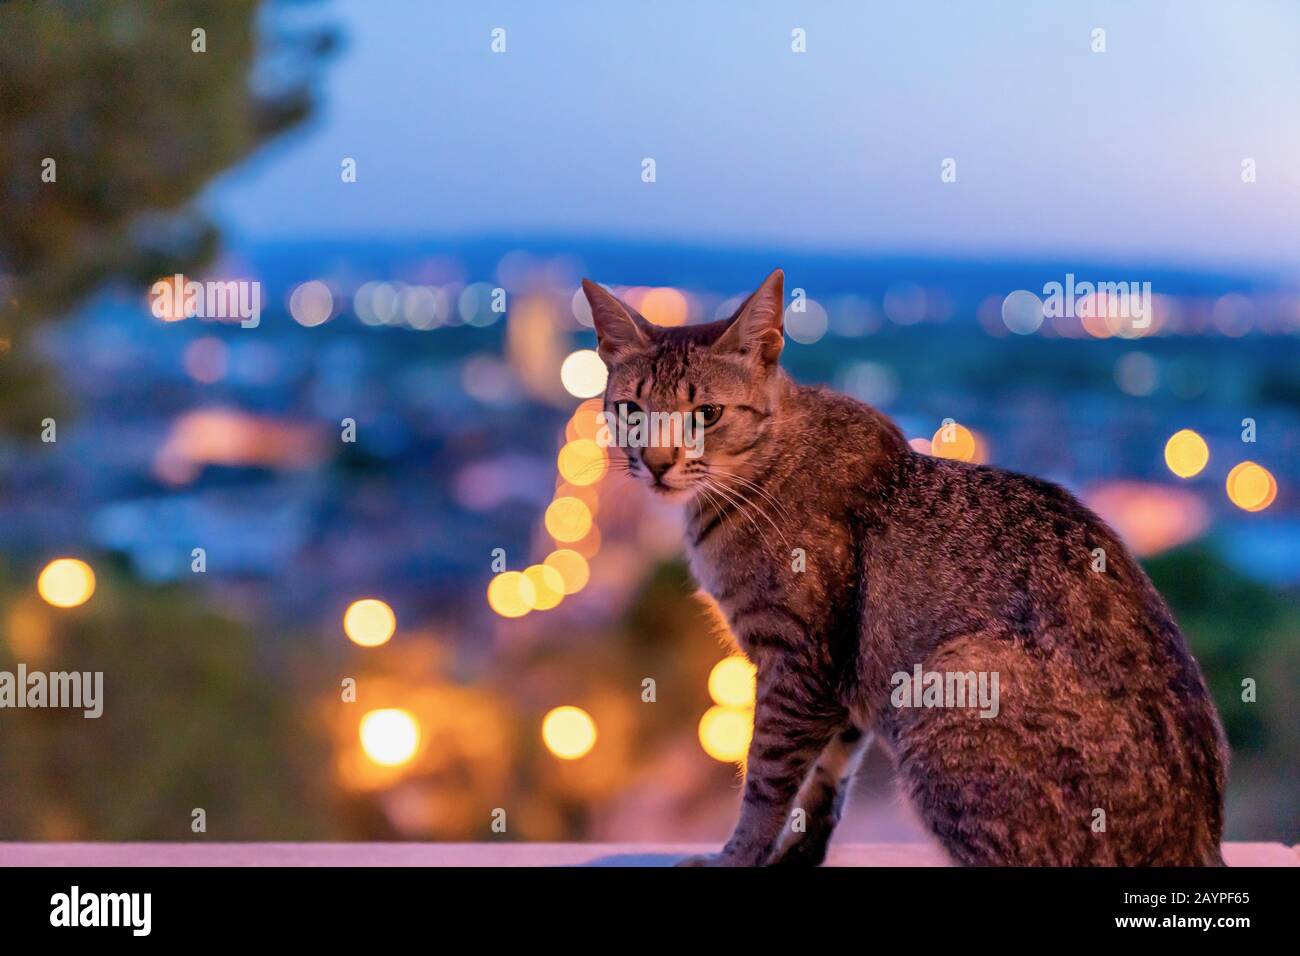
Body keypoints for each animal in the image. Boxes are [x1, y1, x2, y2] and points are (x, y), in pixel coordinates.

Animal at [582, 267, 1227, 868]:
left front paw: (738, 858)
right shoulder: (843, 679)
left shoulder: (799, 664)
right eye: (632, 411)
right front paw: (796, 854)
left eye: (708, 414)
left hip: (943, 689)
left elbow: (766, 783)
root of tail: (1199, 839)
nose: (657, 462)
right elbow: (827, 780)